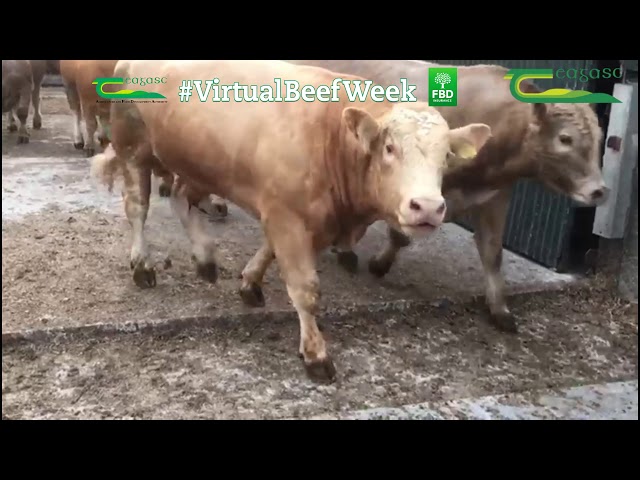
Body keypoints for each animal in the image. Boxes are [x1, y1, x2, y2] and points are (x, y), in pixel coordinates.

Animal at [90, 59, 492, 382]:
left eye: (446, 157)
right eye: (390, 148)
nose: (427, 207)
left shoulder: (292, 215)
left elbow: (270, 252)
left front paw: (249, 283)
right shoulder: (288, 216)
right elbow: (306, 290)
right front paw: (316, 354)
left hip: (194, 161)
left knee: (180, 198)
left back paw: (204, 258)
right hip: (134, 148)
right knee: (137, 207)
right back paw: (142, 265)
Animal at [285, 60, 609, 334]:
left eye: (599, 139)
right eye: (565, 139)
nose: (599, 190)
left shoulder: (495, 195)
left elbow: (492, 251)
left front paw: (500, 310)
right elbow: (401, 234)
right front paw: (380, 264)